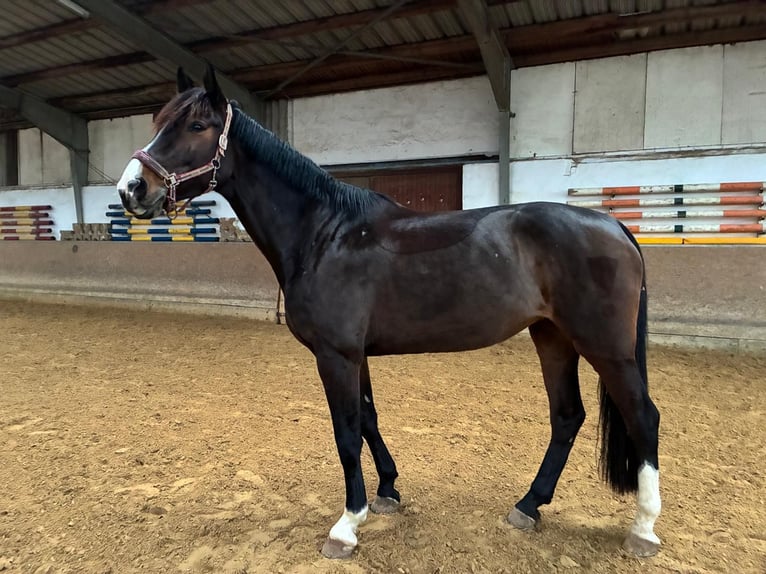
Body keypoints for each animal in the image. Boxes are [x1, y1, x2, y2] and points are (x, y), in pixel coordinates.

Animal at [117, 65, 662, 560]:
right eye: (159, 121)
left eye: (196, 126)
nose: (131, 189)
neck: (324, 234)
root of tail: (614, 226)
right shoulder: (355, 354)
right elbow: (369, 420)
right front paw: (387, 493)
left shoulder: (334, 355)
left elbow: (346, 432)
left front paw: (346, 526)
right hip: (552, 337)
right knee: (567, 416)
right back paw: (528, 506)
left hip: (606, 348)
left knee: (643, 416)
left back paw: (643, 529)